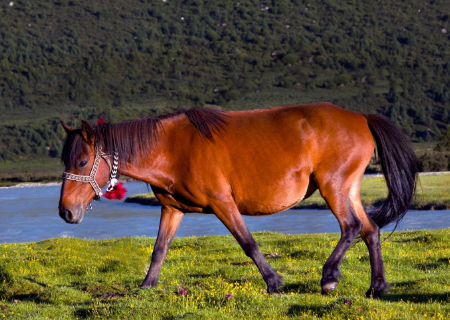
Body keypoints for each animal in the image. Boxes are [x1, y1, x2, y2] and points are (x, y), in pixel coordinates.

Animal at [59, 104, 418, 298]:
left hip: (333, 187)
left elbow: (248, 243)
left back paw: (329, 276)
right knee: (370, 230)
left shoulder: (223, 203)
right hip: (349, 189)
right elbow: (159, 249)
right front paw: (147, 286)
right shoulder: (172, 208)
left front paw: (274, 282)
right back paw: (377, 287)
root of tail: (360, 117)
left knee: (351, 227)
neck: (171, 148)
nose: (66, 212)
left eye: (81, 161)